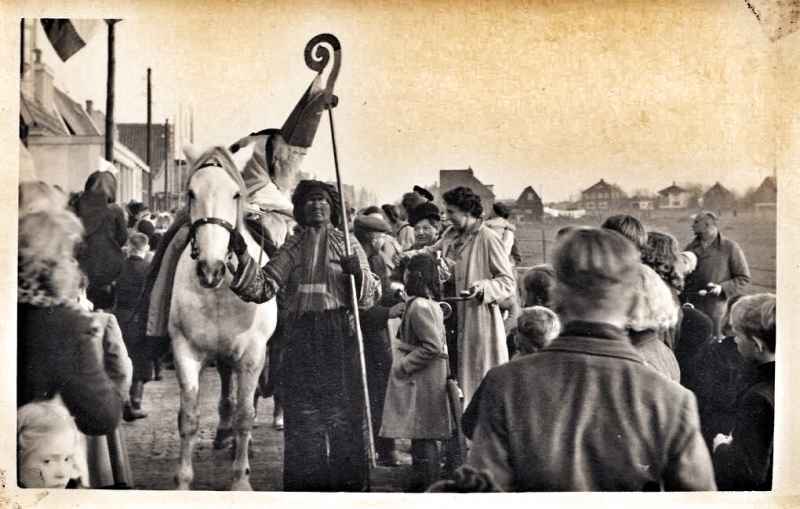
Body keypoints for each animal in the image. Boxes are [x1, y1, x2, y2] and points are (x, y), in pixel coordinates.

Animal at [167, 142, 276, 488]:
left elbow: (246, 415)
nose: (210, 269)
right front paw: (183, 481)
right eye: (191, 192)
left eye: (235, 194)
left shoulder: (253, 354)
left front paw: (240, 480)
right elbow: (188, 418)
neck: (218, 292)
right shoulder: (185, 350)